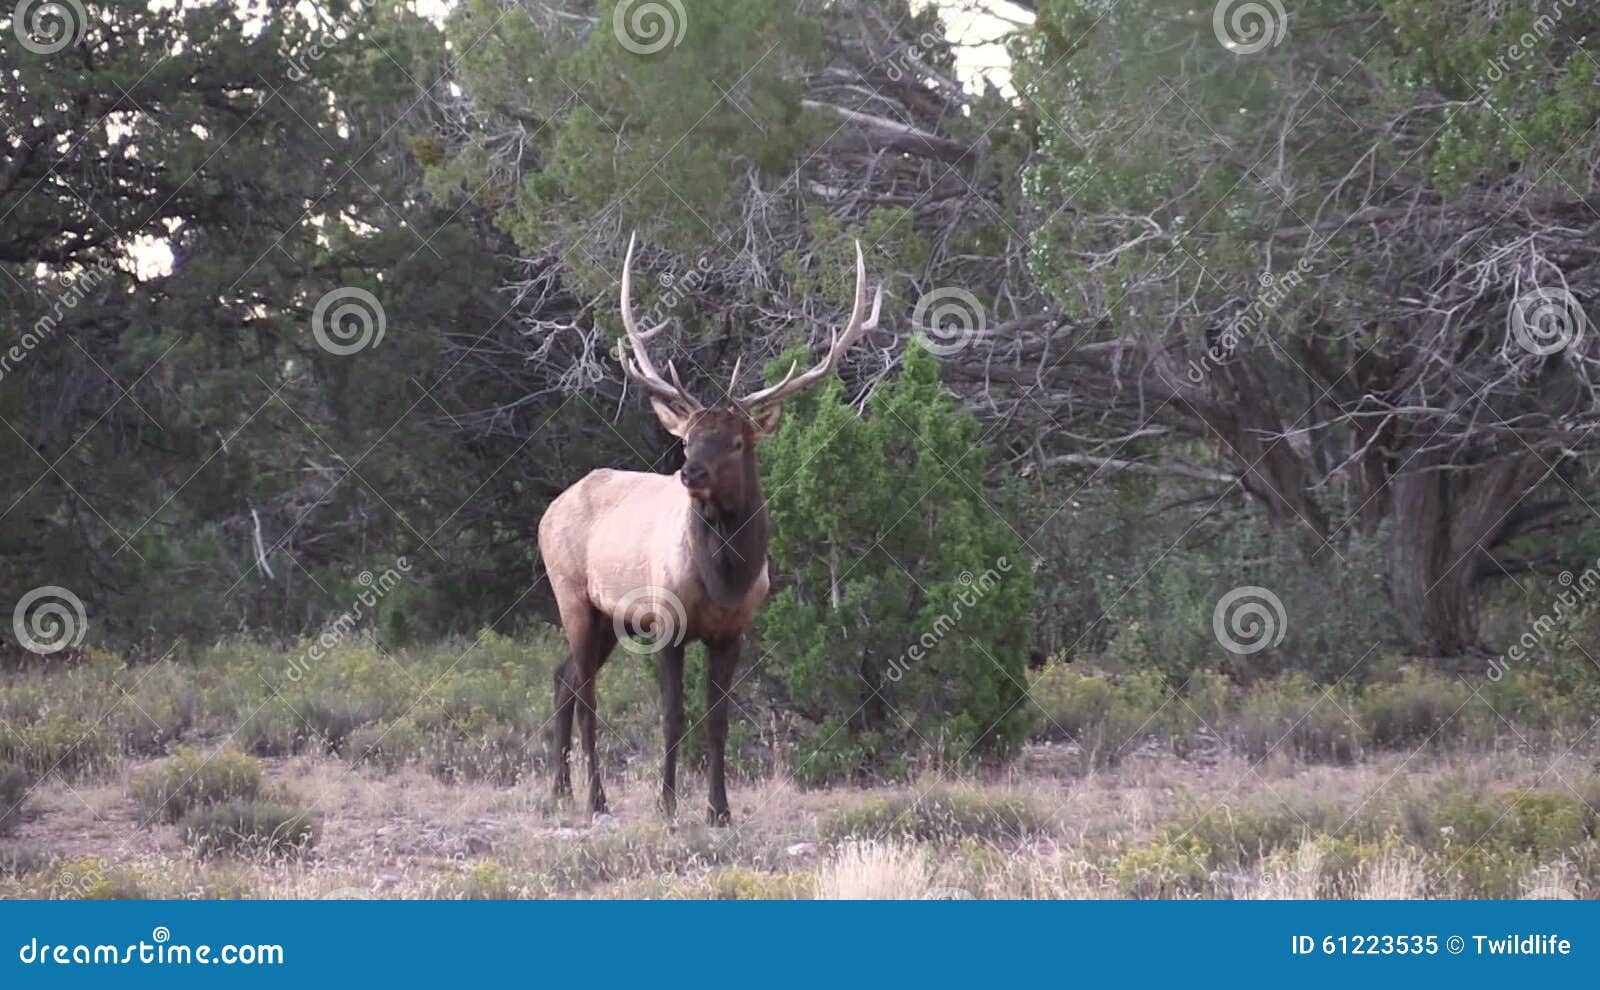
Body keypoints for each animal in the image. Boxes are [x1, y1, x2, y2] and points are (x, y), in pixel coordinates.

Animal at [538, 233, 883, 825]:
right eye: (688, 438)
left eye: (737, 441)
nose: (690, 472)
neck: (723, 580)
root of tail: (548, 510)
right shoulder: (667, 621)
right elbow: (673, 715)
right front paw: (668, 804)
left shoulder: (733, 630)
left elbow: (719, 720)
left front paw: (720, 809)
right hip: (572, 594)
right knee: (585, 693)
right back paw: (595, 798)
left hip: (609, 616)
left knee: (564, 681)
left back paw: (560, 790)